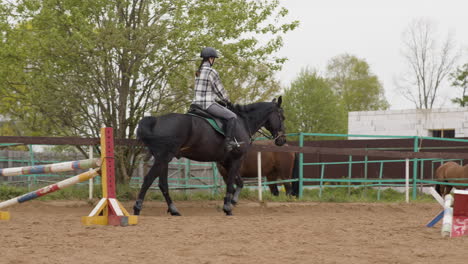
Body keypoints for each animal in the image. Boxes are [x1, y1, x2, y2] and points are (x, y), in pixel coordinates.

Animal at [132, 96, 286, 216]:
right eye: (282, 117)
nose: (282, 140)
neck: (243, 121)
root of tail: (156, 120)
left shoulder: (226, 161)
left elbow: (239, 182)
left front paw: (232, 201)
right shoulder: (236, 159)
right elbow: (231, 183)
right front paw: (227, 207)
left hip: (164, 160)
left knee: (163, 184)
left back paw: (173, 209)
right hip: (163, 158)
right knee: (148, 180)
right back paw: (137, 207)